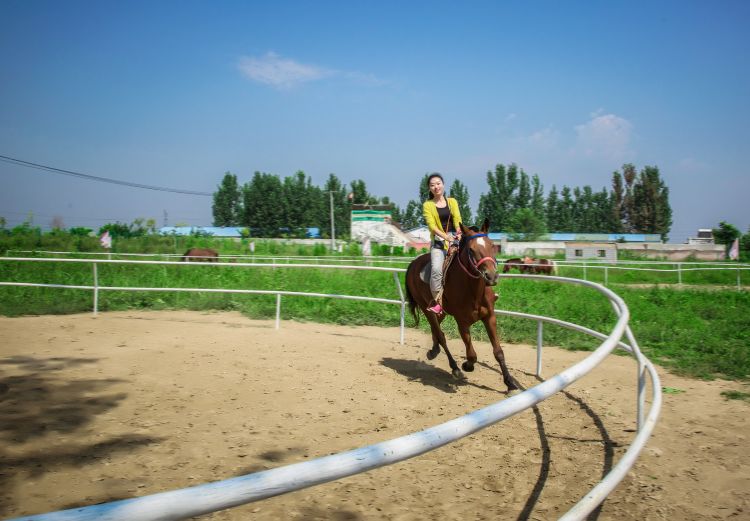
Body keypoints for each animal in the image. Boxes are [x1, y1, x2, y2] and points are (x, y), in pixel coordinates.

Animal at [408, 218, 520, 390]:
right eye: (472, 250)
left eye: (492, 245)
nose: (491, 276)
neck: (474, 292)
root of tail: (413, 264)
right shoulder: (462, 322)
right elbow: (472, 355)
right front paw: (467, 365)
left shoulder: (490, 317)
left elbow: (498, 352)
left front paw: (510, 383)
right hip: (427, 309)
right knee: (441, 335)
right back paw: (454, 367)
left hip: (441, 312)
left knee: (436, 331)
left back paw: (433, 351)